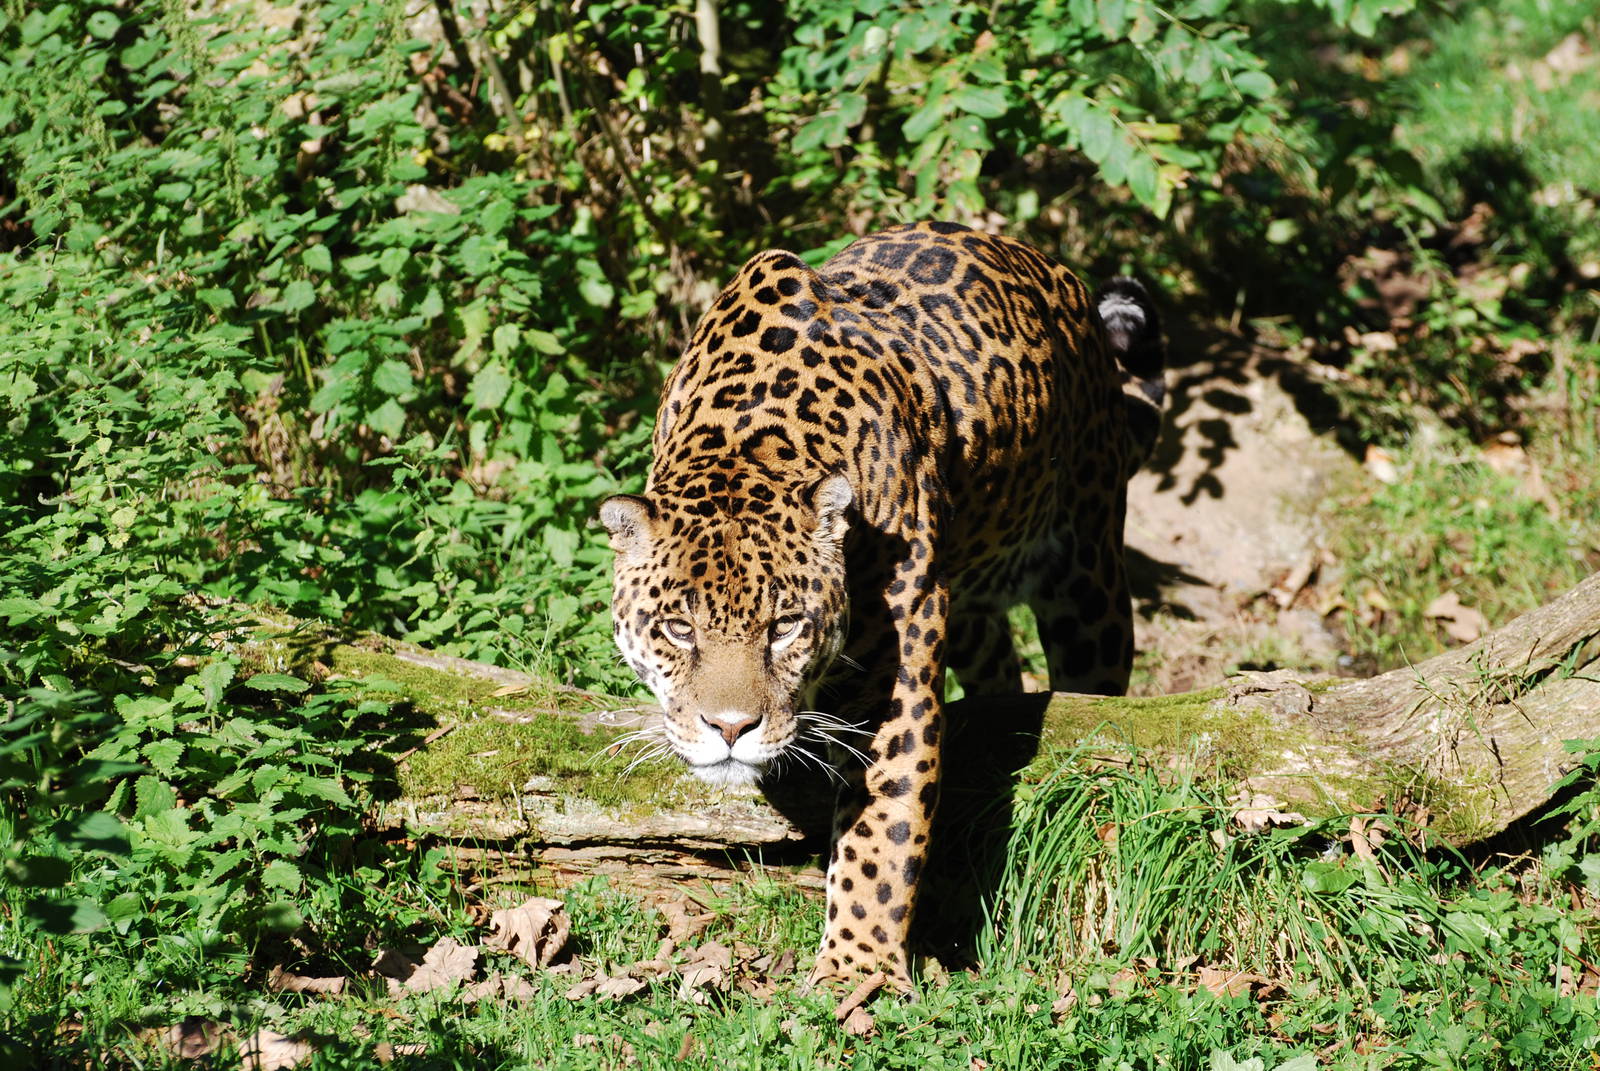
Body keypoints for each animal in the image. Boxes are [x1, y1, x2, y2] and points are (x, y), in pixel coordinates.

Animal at [600, 220, 1165, 991]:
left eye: (785, 628)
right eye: (679, 629)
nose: (731, 727)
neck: (748, 444)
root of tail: (1060, 277)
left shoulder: (894, 673)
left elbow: (881, 828)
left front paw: (856, 971)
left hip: (1087, 570)